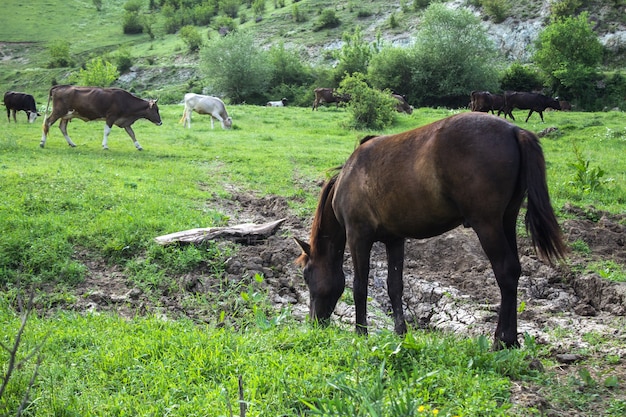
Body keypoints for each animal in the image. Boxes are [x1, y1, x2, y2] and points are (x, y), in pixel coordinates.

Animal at [294, 111, 564, 348]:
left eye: (306, 275)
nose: (314, 322)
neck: (349, 177)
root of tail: (514, 130)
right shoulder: (395, 239)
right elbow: (394, 286)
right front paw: (401, 333)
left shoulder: (358, 236)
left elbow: (359, 286)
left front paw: (361, 333)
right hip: (506, 220)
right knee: (515, 271)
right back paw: (513, 340)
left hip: (487, 224)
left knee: (505, 273)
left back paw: (501, 340)